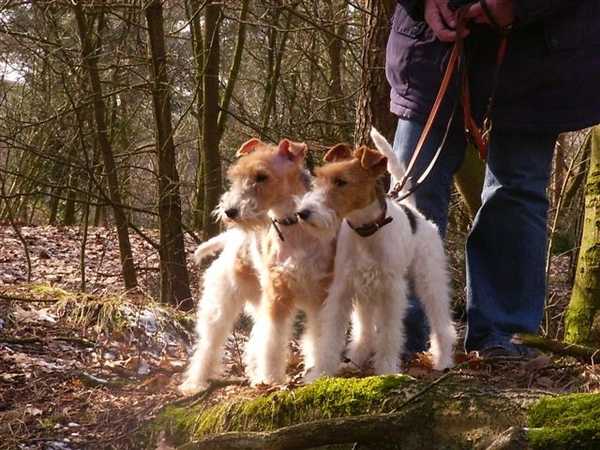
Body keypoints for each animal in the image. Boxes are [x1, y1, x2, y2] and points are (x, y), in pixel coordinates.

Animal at [178, 138, 338, 394]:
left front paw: (318, 371)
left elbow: (319, 337)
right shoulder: (277, 296)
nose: (229, 211)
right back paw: (195, 383)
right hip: (223, 302)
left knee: (254, 339)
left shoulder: (321, 295)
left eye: (261, 176)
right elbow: (272, 341)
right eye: (235, 175)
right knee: (209, 344)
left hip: (256, 300)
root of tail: (232, 237)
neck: (294, 225)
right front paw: (271, 378)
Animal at [296, 129, 454, 380]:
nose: (303, 213)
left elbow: (389, 334)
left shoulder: (391, 290)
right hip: (366, 294)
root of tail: (413, 211)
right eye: (318, 178)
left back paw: (444, 360)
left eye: (341, 182)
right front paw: (320, 373)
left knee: (441, 323)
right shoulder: (343, 289)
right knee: (365, 331)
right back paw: (354, 360)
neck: (366, 230)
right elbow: (331, 335)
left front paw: (388, 369)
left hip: (429, 280)